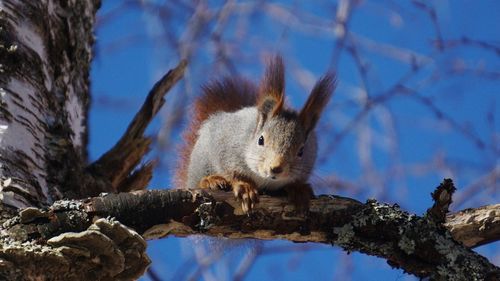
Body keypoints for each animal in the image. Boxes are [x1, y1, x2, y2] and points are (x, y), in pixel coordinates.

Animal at [176, 55, 336, 212]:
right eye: (260, 140)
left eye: (301, 151)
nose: (276, 168)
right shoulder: (224, 142)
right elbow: (231, 170)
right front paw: (244, 187)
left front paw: (298, 189)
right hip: (201, 160)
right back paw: (210, 180)